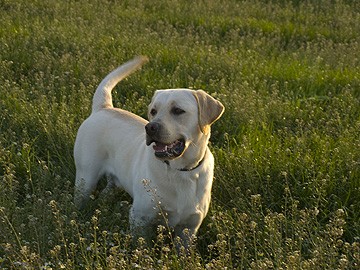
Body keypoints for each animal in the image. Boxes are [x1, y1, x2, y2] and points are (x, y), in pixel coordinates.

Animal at [74, 56, 224, 246]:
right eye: (153, 111)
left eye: (178, 110)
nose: (150, 127)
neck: (181, 170)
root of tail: (104, 107)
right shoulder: (140, 218)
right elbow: (143, 246)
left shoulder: (189, 229)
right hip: (85, 178)